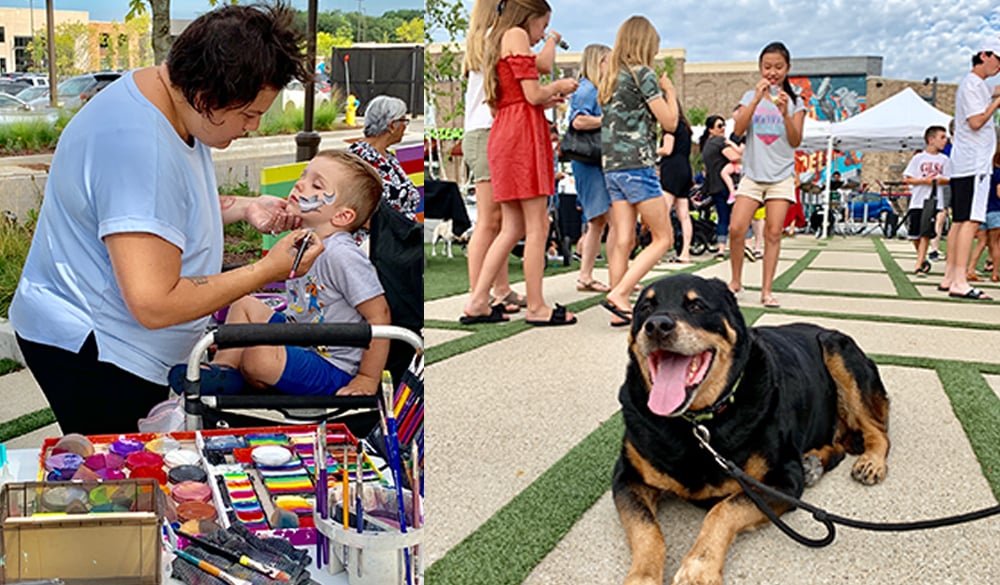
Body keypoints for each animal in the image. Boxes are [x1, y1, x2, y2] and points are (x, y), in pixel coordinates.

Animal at [616, 274, 892, 584]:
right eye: (644, 308)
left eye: (696, 306)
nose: (656, 325)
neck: (698, 423)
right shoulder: (626, 478)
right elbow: (646, 530)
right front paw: (642, 577)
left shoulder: (783, 480)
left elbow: (723, 509)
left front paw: (699, 568)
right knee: (840, 446)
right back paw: (814, 463)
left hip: (837, 349)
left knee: (877, 430)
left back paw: (870, 462)